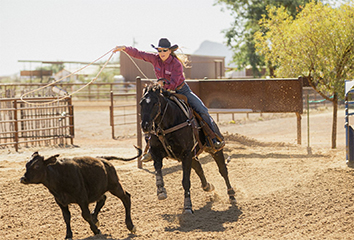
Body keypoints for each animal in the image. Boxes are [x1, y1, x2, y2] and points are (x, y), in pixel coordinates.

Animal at [140, 84, 236, 214]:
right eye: (141, 103)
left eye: (155, 103)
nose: (145, 126)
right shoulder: (157, 153)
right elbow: (158, 171)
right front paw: (161, 191)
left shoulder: (186, 154)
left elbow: (186, 181)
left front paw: (187, 206)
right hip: (193, 156)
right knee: (200, 169)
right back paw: (208, 186)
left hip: (214, 151)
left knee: (223, 170)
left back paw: (231, 194)